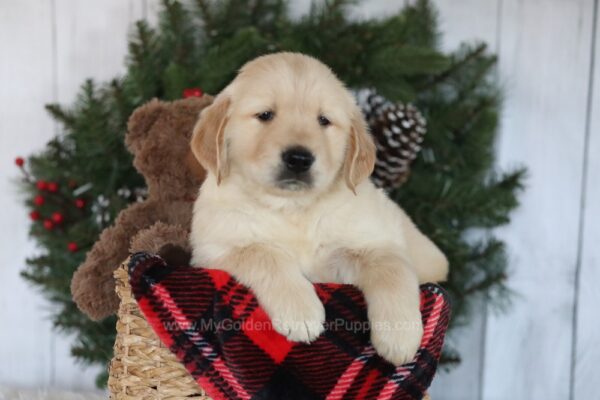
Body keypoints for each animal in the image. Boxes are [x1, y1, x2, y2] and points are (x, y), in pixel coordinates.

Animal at [190, 51, 448, 364]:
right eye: (265, 115)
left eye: (324, 120)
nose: (299, 159)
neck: (293, 207)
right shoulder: (214, 249)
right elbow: (265, 254)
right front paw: (300, 310)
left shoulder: (374, 243)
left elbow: (393, 270)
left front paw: (400, 336)